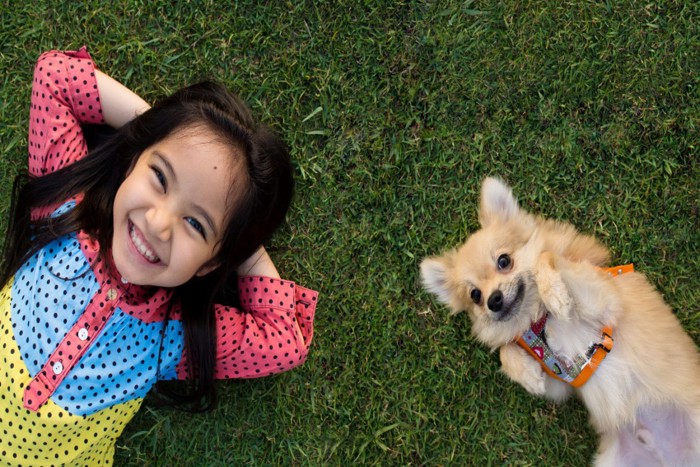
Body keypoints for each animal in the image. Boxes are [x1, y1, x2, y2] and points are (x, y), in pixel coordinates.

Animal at [418, 177, 700, 466]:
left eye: (504, 261)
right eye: (475, 295)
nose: (493, 300)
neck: (538, 318)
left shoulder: (606, 304)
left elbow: (546, 257)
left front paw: (556, 295)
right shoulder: (562, 379)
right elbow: (507, 351)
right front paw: (527, 374)